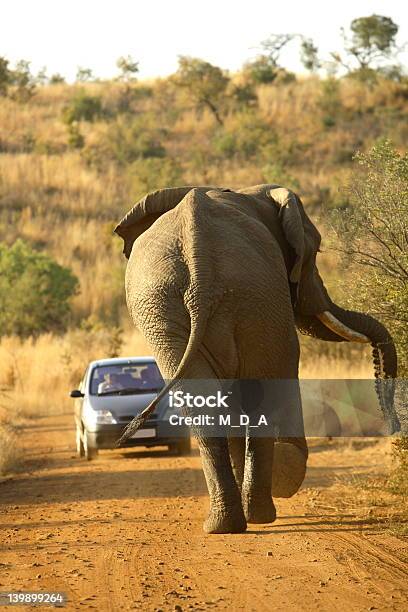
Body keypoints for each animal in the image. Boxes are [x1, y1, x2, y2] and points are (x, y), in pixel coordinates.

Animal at [113, 184, 400, 532]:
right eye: (314, 253)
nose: (394, 426)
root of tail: (200, 262)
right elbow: (284, 366)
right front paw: (286, 468)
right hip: (243, 295)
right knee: (257, 387)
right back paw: (259, 513)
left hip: (171, 306)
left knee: (203, 400)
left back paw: (224, 524)